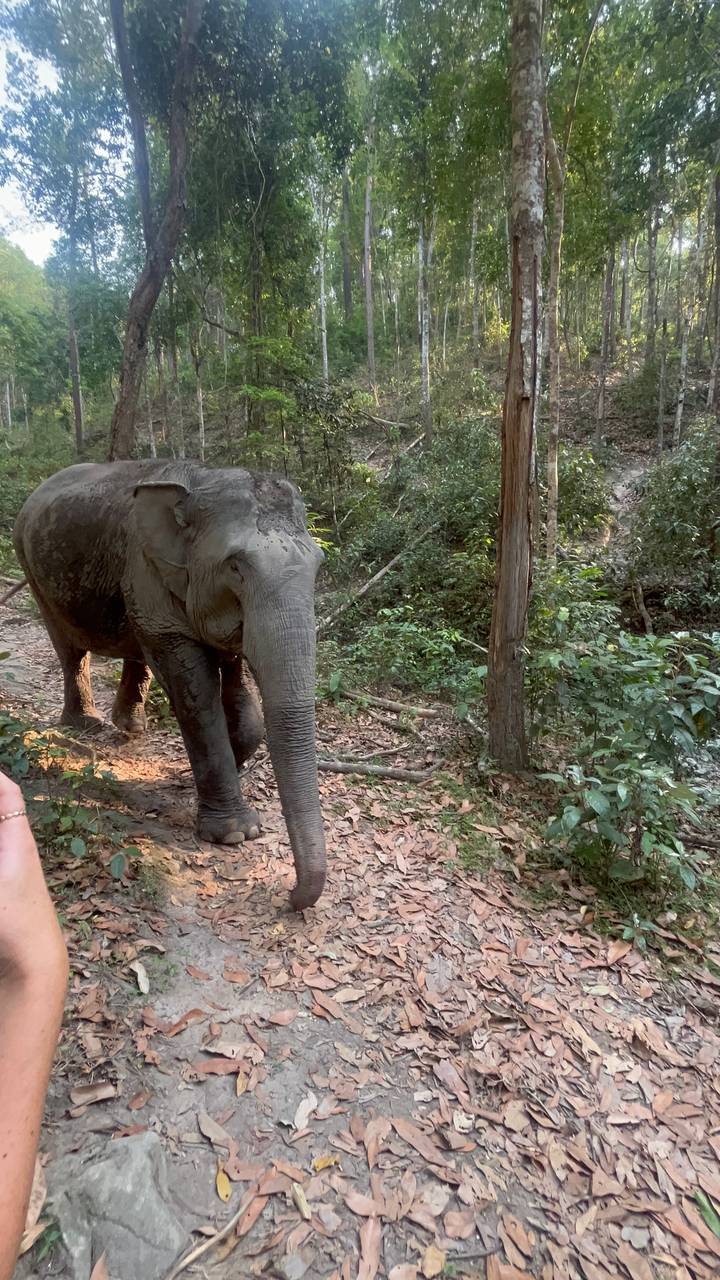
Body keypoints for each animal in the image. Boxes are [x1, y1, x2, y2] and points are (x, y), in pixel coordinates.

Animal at [13, 461, 326, 910]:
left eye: (319, 564)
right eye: (236, 567)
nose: (291, 897)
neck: (201, 481)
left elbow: (236, 684)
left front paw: (231, 759)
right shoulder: (146, 570)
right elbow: (193, 689)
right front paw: (235, 833)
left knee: (131, 645)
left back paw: (130, 726)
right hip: (32, 566)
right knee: (71, 649)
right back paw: (85, 724)